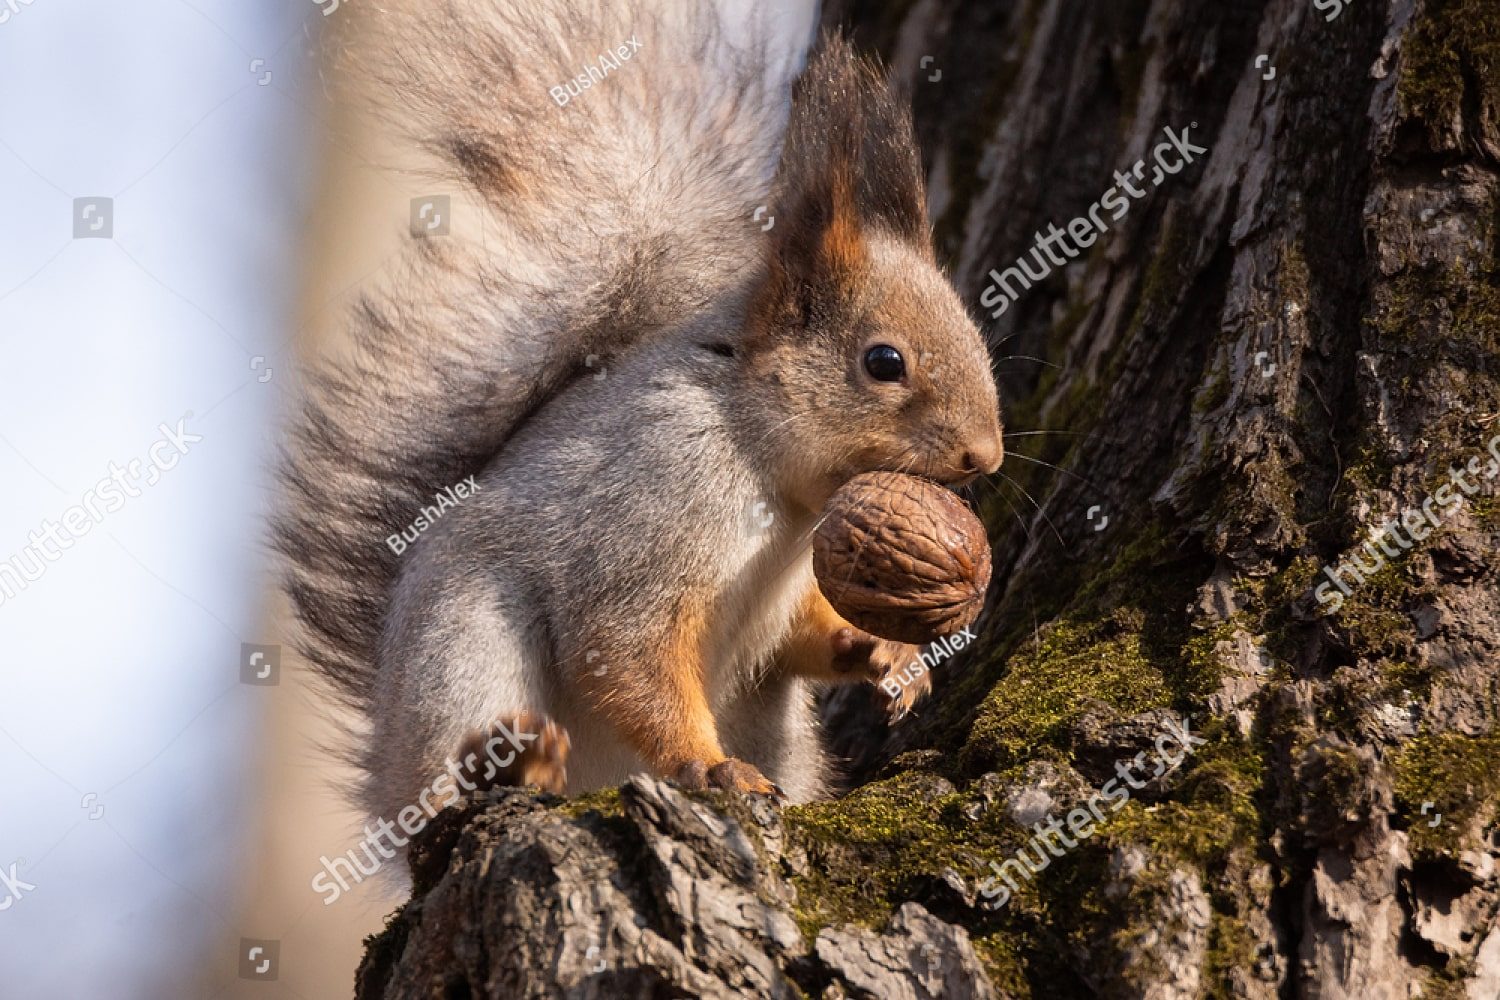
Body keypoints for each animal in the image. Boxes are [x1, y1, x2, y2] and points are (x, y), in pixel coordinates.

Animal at [276, 0, 1004, 824]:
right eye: (884, 362)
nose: (986, 456)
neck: (772, 475)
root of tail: (386, 773)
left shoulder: (785, 597)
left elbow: (800, 637)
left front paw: (888, 655)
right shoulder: (654, 500)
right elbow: (626, 647)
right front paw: (710, 765)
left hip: (772, 718)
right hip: (463, 650)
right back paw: (509, 768)